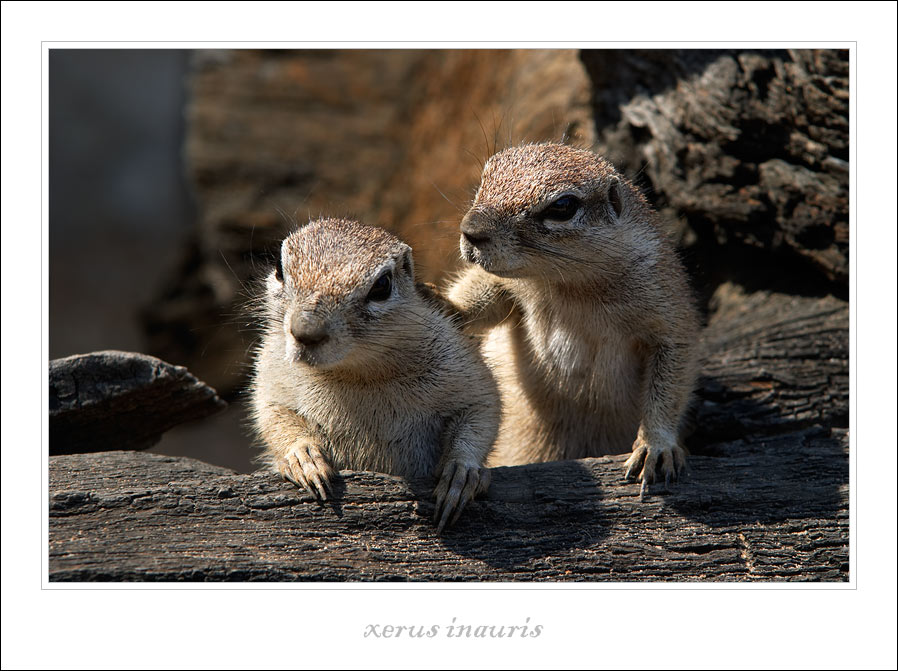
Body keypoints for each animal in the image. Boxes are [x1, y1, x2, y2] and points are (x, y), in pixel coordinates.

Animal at [248, 218, 496, 528]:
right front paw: (303, 458)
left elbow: (482, 413)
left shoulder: (466, 372)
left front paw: (460, 474)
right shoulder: (272, 374)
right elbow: (273, 416)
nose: (306, 331)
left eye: (382, 286)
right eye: (279, 269)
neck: (356, 372)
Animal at [448, 142, 700, 494]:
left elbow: (672, 381)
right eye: (486, 175)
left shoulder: (668, 312)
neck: (568, 288)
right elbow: (482, 298)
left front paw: (655, 445)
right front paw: (440, 302)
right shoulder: (509, 288)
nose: (471, 230)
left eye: (563, 206)